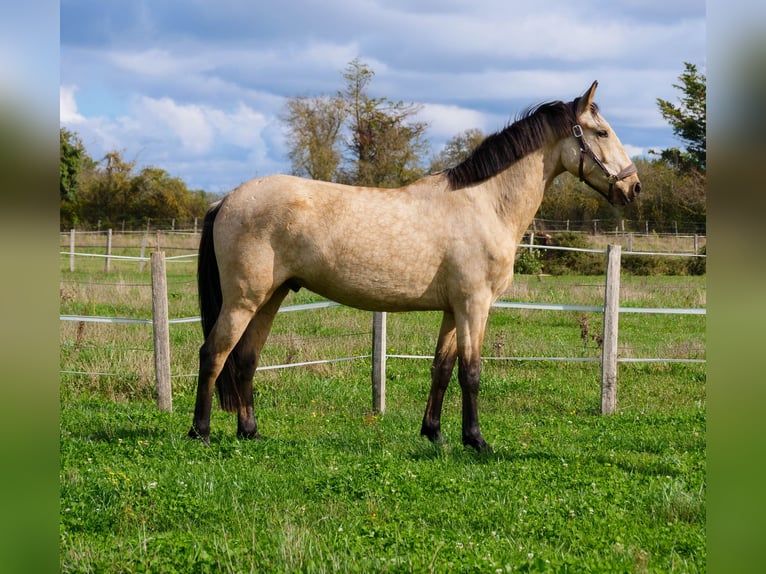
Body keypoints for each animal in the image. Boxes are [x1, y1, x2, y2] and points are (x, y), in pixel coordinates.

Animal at [188, 81, 640, 452]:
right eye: (602, 132)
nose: (633, 187)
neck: (485, 203)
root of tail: (226, 199)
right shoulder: (474, 306)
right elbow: (471, 372)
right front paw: (477, 441)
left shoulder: (454, 310)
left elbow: (442, 368)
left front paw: (435, 434)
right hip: (243, 301)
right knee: (213, 354)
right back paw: (201, 432)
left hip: (270, 298)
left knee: (245, 359)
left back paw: (250, 432)